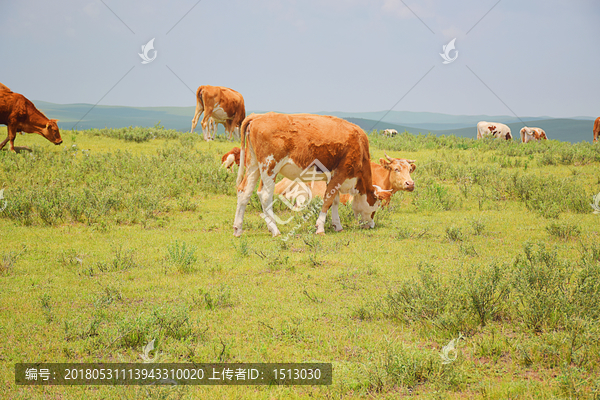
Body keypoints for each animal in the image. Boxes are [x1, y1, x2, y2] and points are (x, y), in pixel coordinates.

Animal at [234, 112, 390, 236]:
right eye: (375, 205)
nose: (371, 225)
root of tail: (258, 116)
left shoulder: (332, 177)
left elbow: (335, 200)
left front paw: (337, 225)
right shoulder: (341, 173)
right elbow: (327, 200)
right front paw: (320, 227)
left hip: (253, 165)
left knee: (244, 192)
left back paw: (238, 228)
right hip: (269, 166)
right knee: (265, 195)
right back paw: (274, 230)